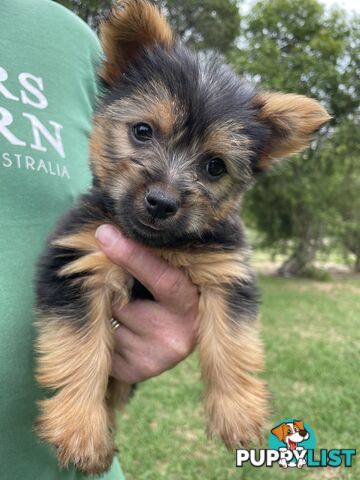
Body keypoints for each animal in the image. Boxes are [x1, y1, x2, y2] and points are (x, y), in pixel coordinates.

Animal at [33, 0, 330, 474]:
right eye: (142, 131)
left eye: (214, 166)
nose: (161, 202)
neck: (158, 242)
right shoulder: (80, 261)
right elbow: (83, 347)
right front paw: (81, 428)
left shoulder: (225, 272)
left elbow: (230, 343)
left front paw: (237, 413)